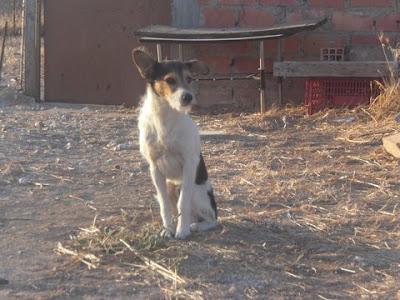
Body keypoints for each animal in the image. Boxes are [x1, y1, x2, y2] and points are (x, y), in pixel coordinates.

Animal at [133, 47, 217, 239]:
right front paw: (168, 229)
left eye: (189, 79)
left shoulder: (189, 164)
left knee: (211, 218)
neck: (166, 119)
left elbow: (182, 203)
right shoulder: (155, 169)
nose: (188, 97)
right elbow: (165, 206)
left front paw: (182, 230)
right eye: (170, 80)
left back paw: (195, 226)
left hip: (196, 192)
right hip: (170, 186)